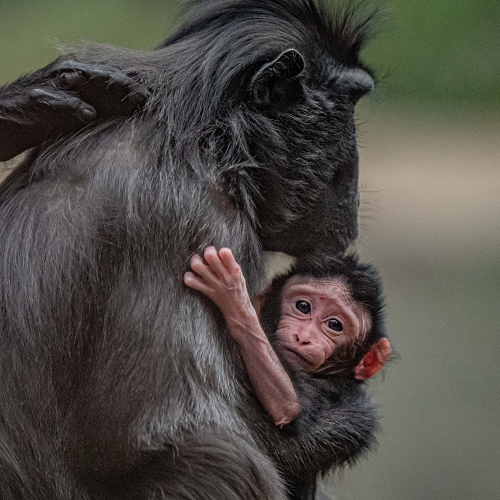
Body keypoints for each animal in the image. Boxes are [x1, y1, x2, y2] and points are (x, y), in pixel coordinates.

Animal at [184, 246, 390, 426]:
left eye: (334, 325)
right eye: (303, 306)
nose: (304, 337)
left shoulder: (331, 390)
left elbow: (286, 407)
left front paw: (233, 294)